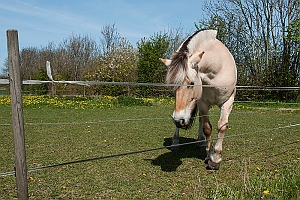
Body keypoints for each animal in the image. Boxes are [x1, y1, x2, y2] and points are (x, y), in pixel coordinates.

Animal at [159, 29, 237, 170]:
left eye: (191, 83)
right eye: (172, 85)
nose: (179, 120)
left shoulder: (228, 101)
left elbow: (222, 126)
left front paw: (216, 158)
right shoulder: (203, 103)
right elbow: (207, 128)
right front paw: (209, 156)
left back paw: (201, 142)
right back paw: (176, 142)